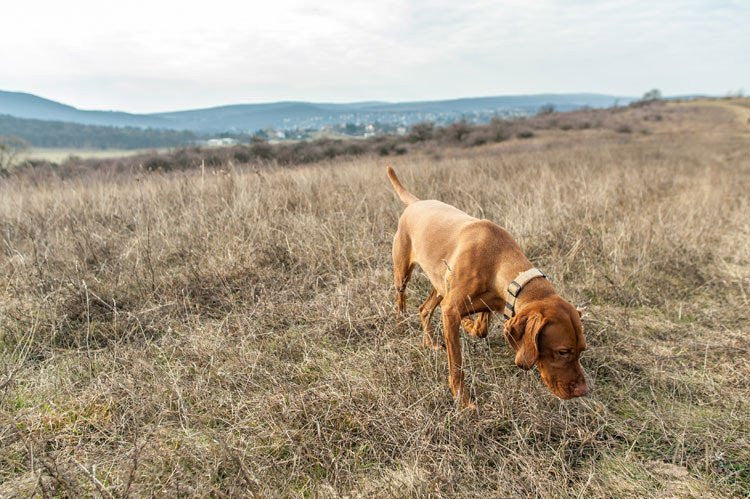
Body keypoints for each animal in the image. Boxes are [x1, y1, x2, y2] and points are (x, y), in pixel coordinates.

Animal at [388, 166, 592, 408]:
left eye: (582, 349)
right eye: (562, 352)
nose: (583, 390)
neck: (498, 258)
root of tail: (417, 202)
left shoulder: (487, 303)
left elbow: (481, 330)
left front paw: (468, 324)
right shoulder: (451, 309)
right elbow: (457, 363)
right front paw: (463, 400)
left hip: (440, 284)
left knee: (424, 309)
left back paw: (429, 342)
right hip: (402, 273)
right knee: (401, 299)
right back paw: (400, 325)